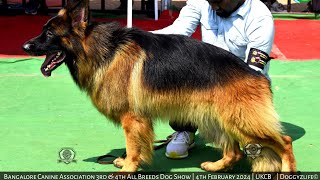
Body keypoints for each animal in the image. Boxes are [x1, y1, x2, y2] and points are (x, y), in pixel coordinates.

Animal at [23, 0, 298, 173]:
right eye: (43, 30)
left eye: (50, 34)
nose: (25, 46)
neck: (104, 51)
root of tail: (255, 74)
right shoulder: (138, 120)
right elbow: (135, 146)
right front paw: (125, 162)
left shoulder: (132, 118)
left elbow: (133, 146)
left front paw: (127, 168)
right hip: (214, 118)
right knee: (235, 152)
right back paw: (215, 166)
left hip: (240, 121)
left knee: (284, 142)